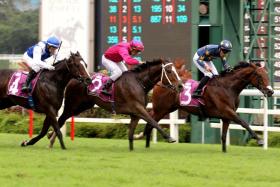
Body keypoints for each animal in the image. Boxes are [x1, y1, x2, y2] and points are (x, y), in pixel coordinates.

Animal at [47, 58, 184, 150]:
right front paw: (170, 138)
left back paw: (51, 138)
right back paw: (51, 139)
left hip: (82, 106)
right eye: (169, 71)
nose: (180, 86)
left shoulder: (135, 114)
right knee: (61, 118)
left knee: (63, 119)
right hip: (73, 104)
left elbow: (131, 134)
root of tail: (74, 79)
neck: (139, 82)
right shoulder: (138, 108)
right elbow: (153, 121)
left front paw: (132, 149)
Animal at [144, 61, 274, 152]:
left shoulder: (226, 116)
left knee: (150, 121)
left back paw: (147, 144)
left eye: (267, 75)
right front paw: (260, 140)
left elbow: (224, 135)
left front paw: (224, 151)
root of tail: (160, 83)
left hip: (167, 108)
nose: (270, 91)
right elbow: (244, 123)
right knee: (150, 121)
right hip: (161, 109)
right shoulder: (227, 111)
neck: (228, 87)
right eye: (260, 76)